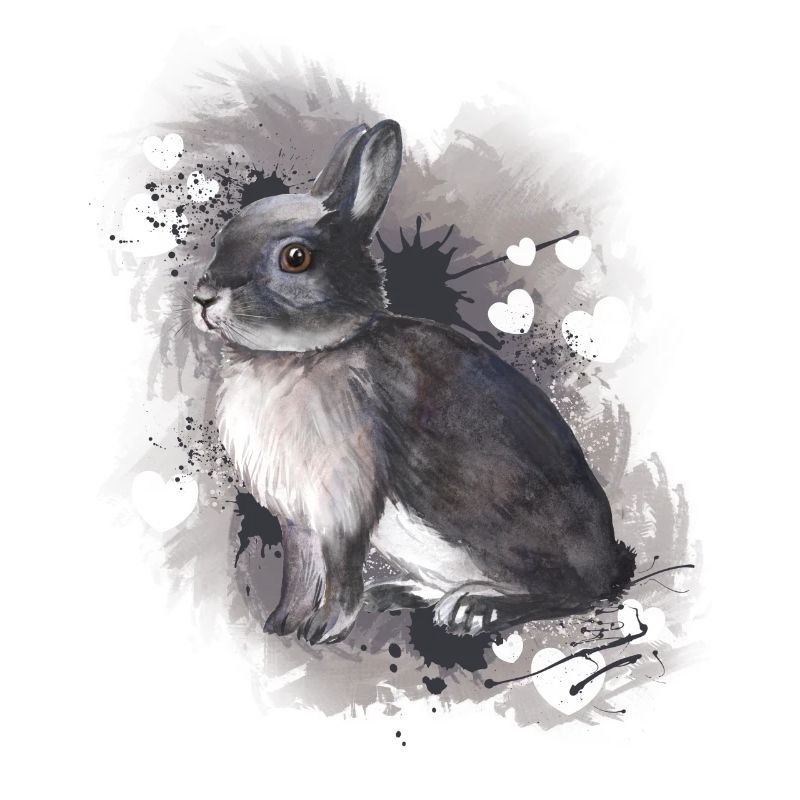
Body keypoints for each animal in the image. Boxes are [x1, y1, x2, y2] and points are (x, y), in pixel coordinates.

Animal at [192, 119, 636, 645]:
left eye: (295, 258)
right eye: (223, 237)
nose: (202, 298)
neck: (301, 355)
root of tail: (610, 563)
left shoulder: (344, 504)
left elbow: (339, 572)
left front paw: (323, 629)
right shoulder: (298, 518)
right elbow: (300, 572)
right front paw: (281, 623)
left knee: (570, 595)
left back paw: (475, 609)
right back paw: (401, 593)